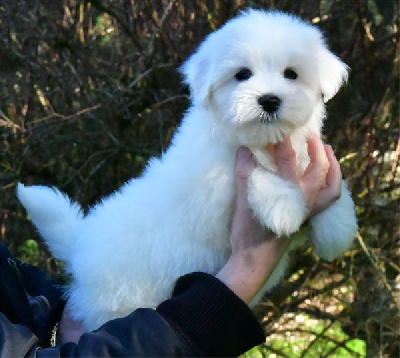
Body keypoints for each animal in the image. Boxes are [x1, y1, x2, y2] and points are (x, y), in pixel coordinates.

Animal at [17, 9, 358, 332]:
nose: (270, 100)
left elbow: (334, 189)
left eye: (292, 74)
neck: (263, 142)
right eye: (242, 74)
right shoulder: (215, 191)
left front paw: (337, 228)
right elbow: (256, 176)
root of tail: (81, 244)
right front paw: (284, 207)